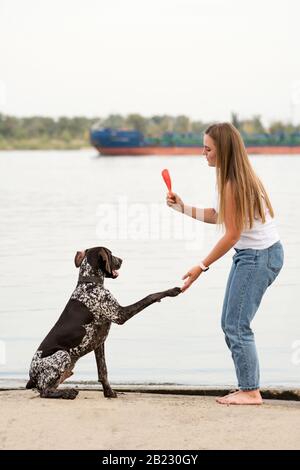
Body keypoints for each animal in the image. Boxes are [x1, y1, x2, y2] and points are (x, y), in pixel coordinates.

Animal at [26, 248, 180, 398]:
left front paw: (109, 392)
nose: (121, 260)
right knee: (44, 391)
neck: (89, 283)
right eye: (110, 254)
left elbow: (103, 371)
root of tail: (32, 376)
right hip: (62, 355)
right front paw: (171, 291)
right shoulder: (120, 314)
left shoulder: (99, 343)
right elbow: (150, 296)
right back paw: (68, 393)